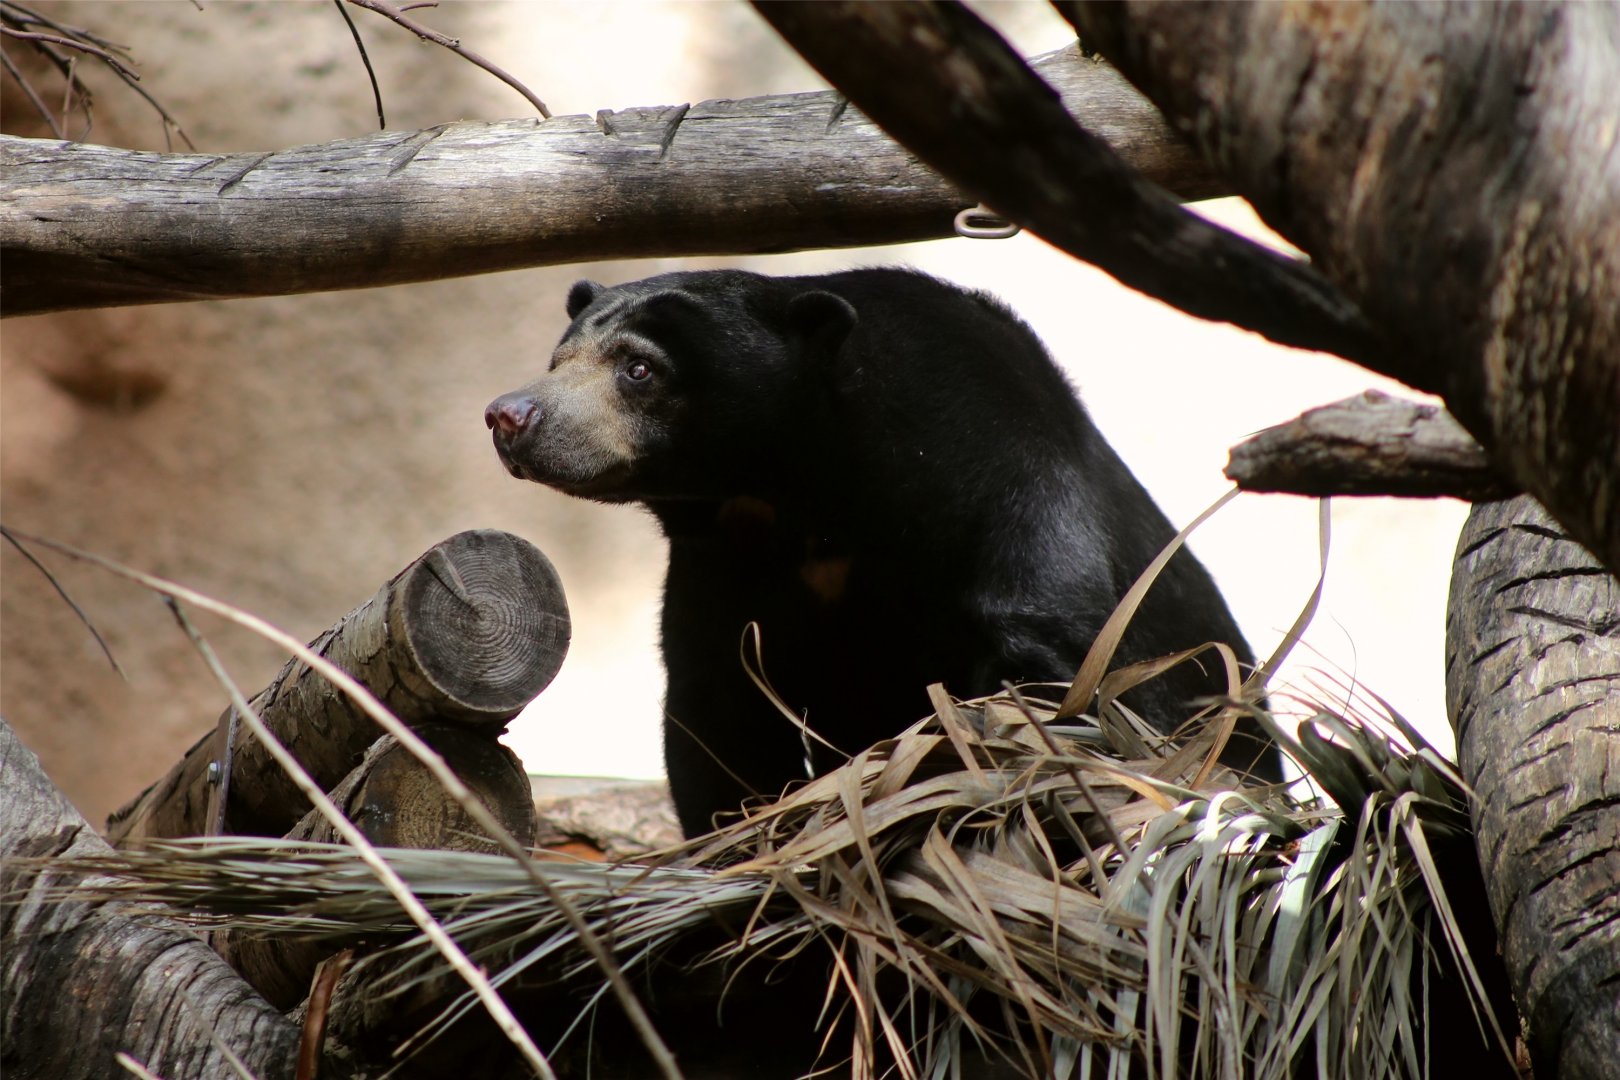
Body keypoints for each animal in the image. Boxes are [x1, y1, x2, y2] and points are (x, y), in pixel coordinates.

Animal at [486, 268, 1279, 838]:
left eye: (638, 369)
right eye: (560, 358)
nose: (510, 415)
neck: (801, 496)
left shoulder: (1013, 485)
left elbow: (1047, 671)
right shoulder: (721, 562)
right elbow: (718, 701)